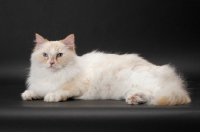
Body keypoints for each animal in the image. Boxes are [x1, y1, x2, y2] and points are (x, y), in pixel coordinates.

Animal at [21, 33, 191, 105]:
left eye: (59, 55)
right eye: (45, 55)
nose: (51, 63)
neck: (52, 75)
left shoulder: (77, 84)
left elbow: (61, 89)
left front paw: (51, 96)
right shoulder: (42, 84)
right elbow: (36, 90)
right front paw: (28, 95)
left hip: (147, 83)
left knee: (159, 94)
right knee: (147, 95)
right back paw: (134, 99)